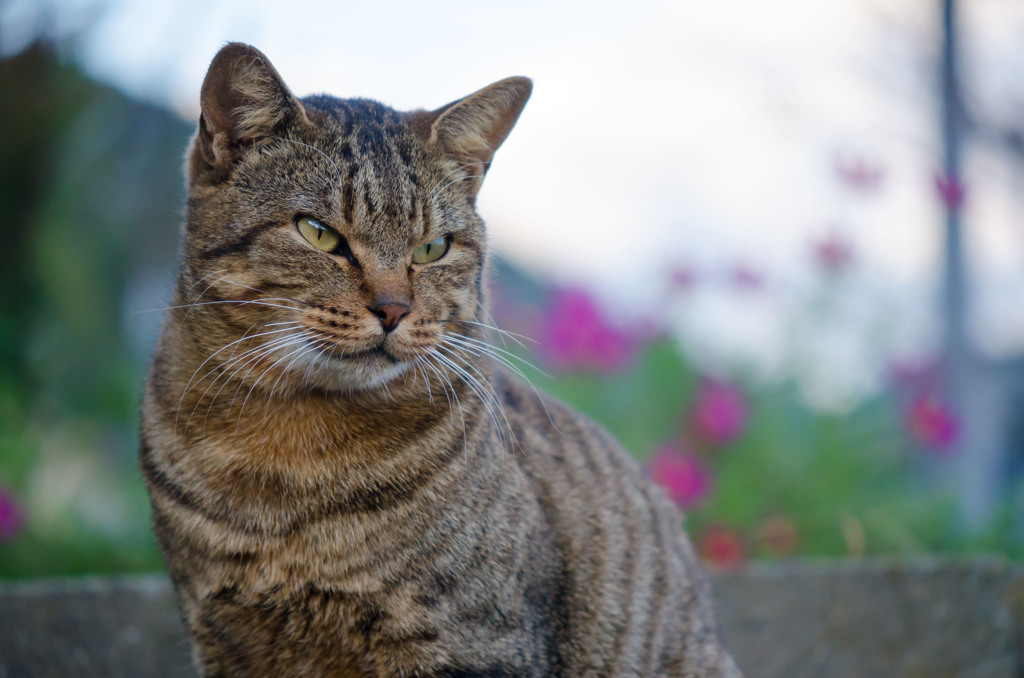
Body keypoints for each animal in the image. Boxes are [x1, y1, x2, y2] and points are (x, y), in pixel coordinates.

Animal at [140, 43, 741, 678]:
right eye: (319, 233)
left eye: (433, 249)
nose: (393, 309)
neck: (288, 458)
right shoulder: (224, 640)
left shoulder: (475, 643)